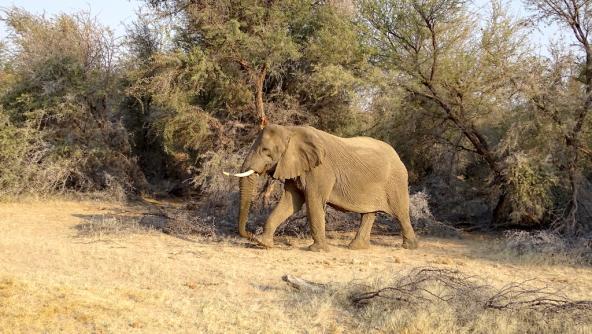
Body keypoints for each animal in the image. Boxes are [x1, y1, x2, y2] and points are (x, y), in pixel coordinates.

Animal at [224, 124, 418, 250]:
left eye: (266, 151)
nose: (251, 236)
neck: (291, 130)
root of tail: (398, 156)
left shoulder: (320, 170)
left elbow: (313, 202)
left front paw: (317, 250)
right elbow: (291, 203)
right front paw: (264, 244)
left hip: (396, 181)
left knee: (401, 213)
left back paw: (410, 247)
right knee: (369, 214)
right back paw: (355, 248)